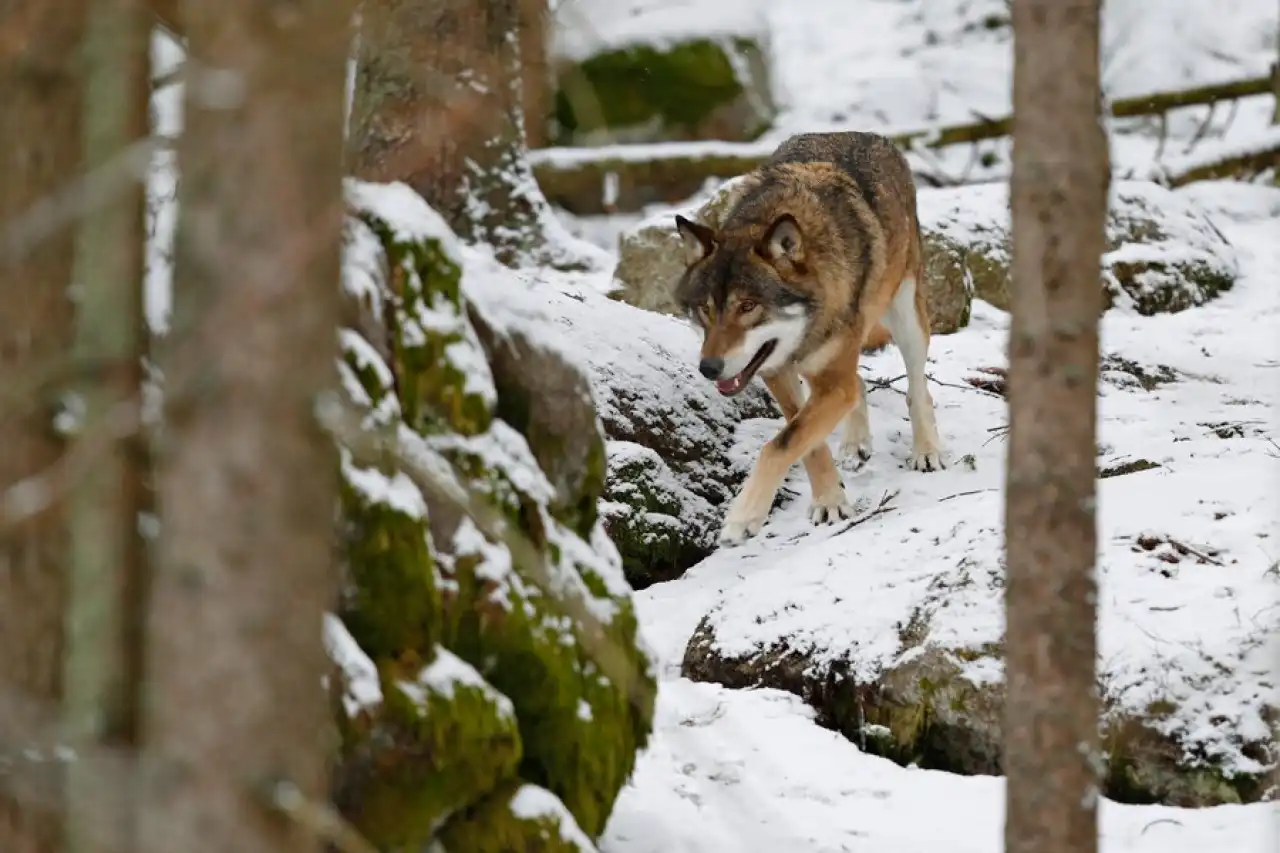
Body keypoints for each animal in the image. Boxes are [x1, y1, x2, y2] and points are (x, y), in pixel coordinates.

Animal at [675, 131, 947, 545]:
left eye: (748, 306)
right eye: (706, 309)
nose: (709, 368)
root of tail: (865, 134)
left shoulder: (830, 382)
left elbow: (778, 446)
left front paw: (742, 517)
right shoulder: (778, 373)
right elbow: (804, 441)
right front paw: (830, 501)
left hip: (905, 315)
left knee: (917, 387)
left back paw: (927, 451)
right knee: (859, 382)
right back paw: (854, 445)